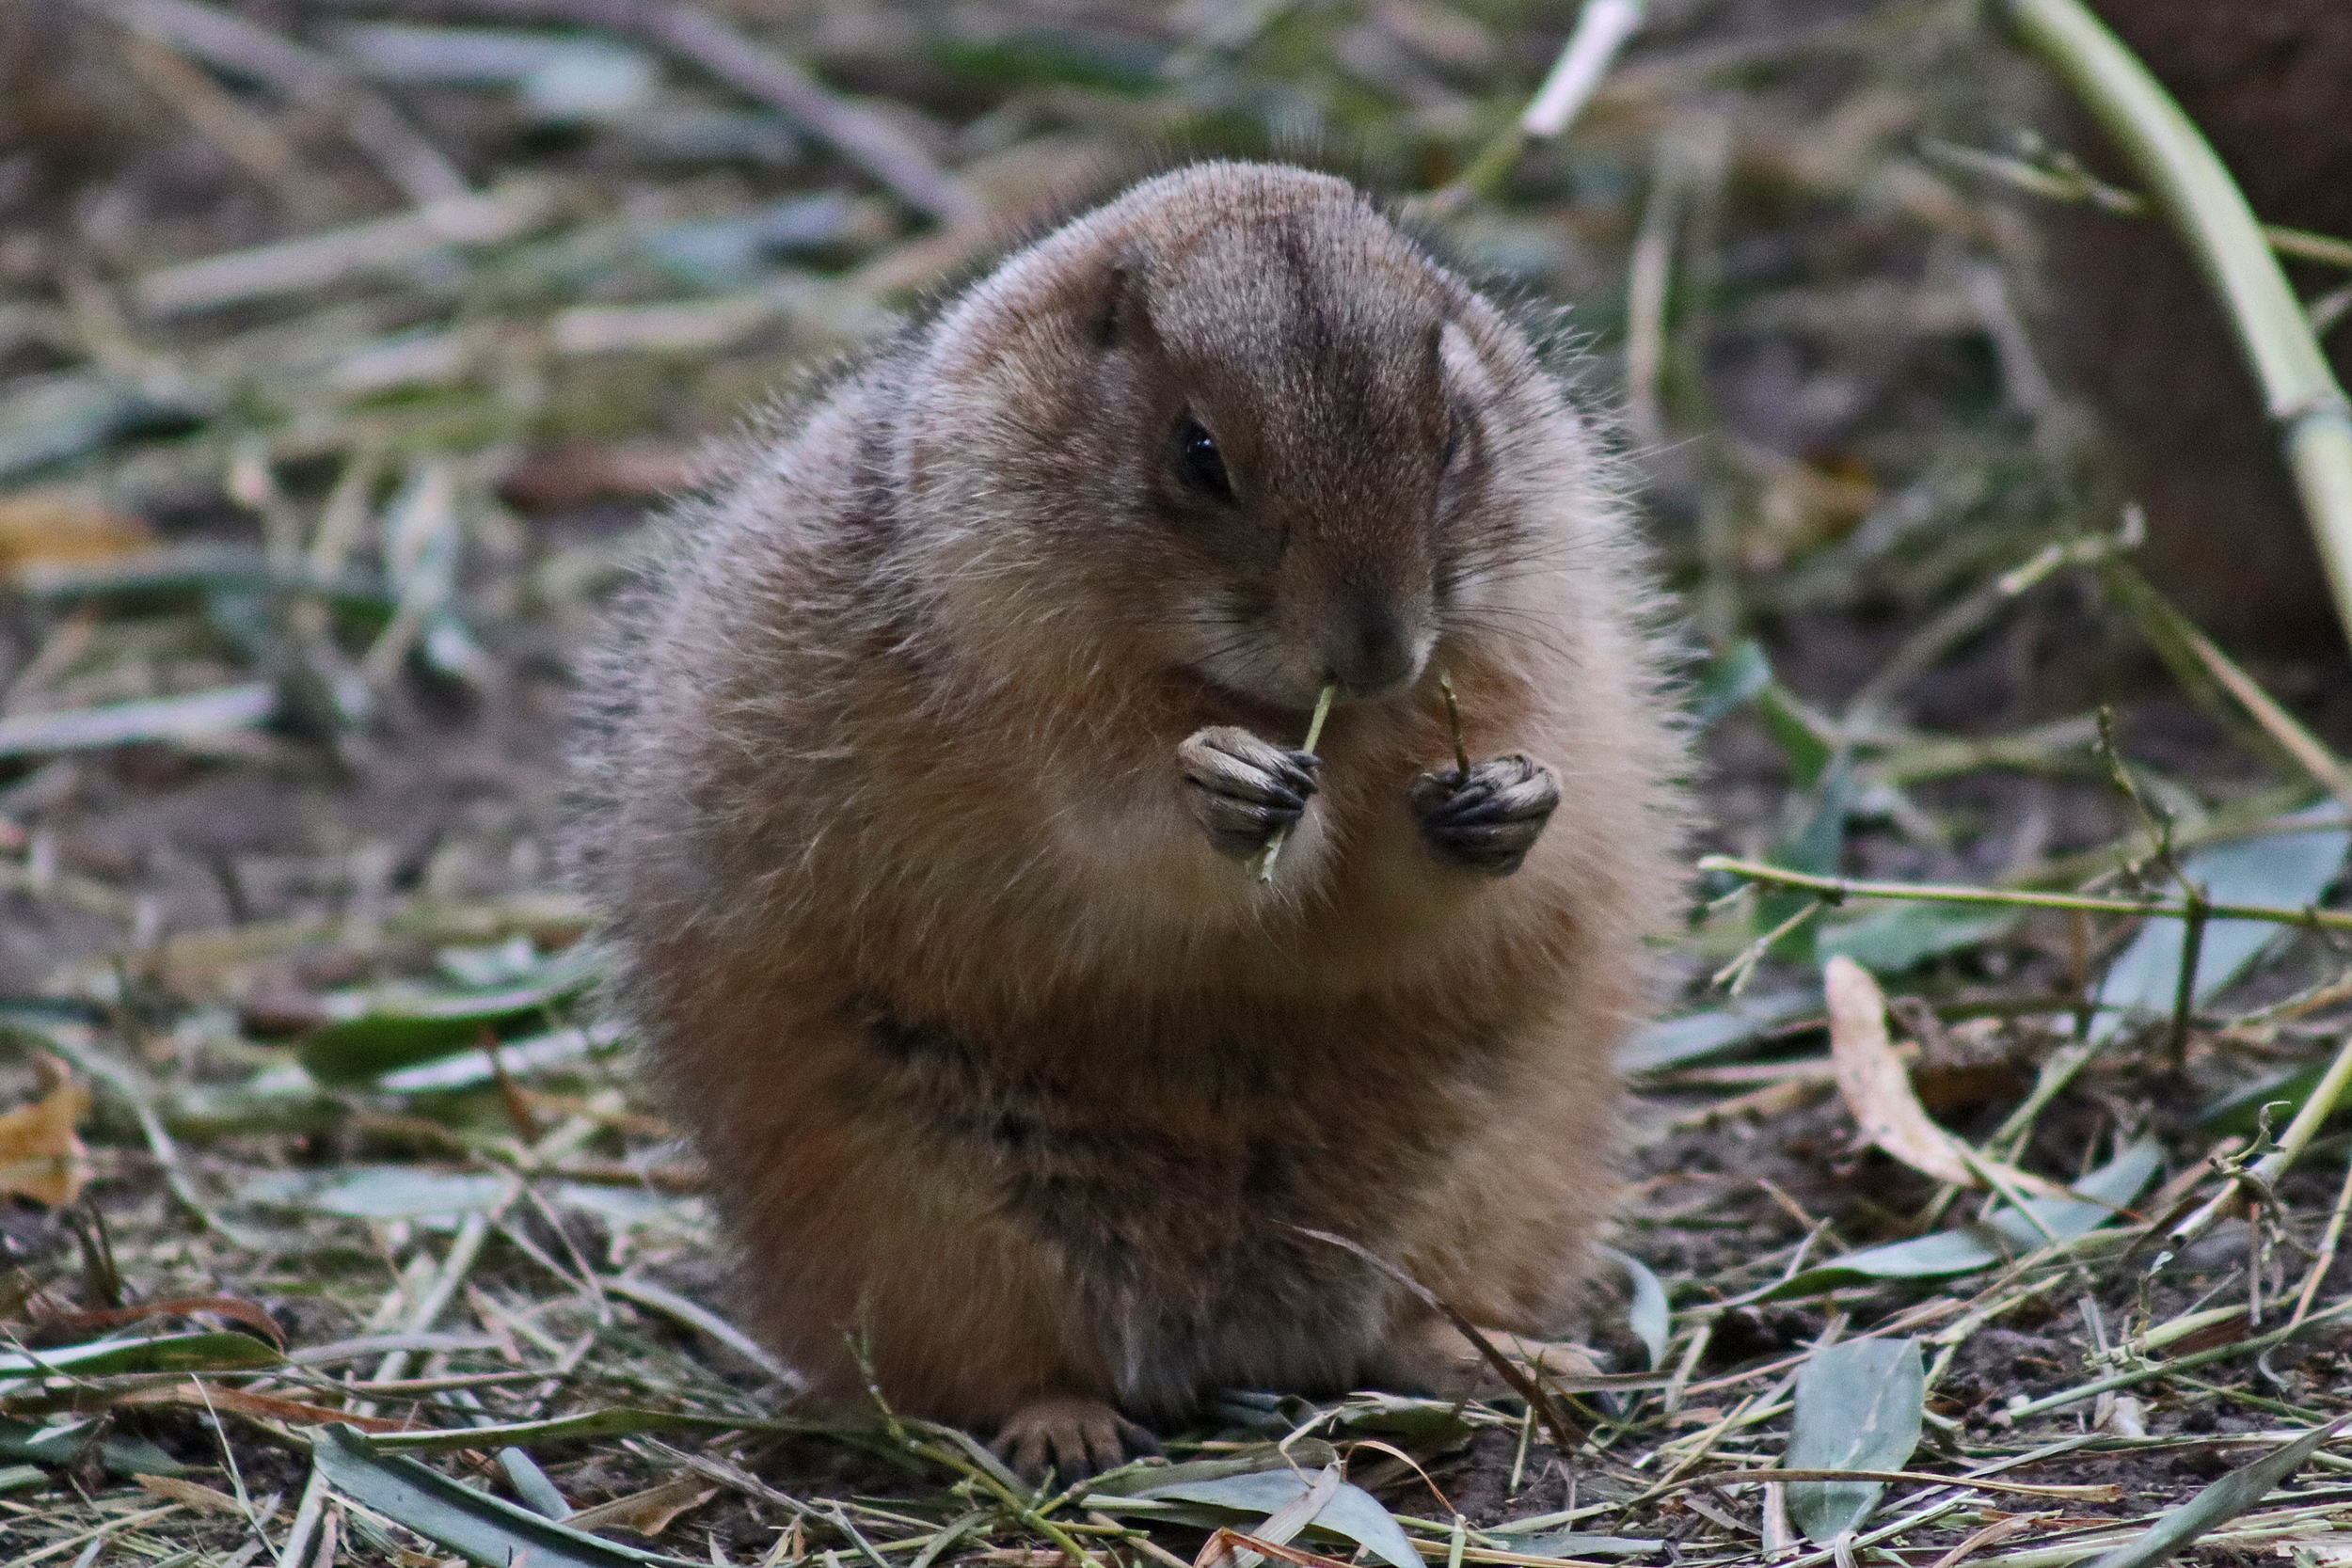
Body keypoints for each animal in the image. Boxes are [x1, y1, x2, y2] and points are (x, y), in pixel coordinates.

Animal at [569, 162, 1683, 1477]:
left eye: (1452, 432)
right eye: (1198, 454)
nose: (1376, 653)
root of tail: (1245, 1338)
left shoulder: (1540, 628)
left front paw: (1503, 799)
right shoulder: (1027, 691)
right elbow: (1110, 835)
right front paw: (1228, 783)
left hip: (1505, 1176)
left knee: (1403, 1321)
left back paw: (1516, 1360)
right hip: (913, 1221)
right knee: (995, 1365)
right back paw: (1068, 1428)